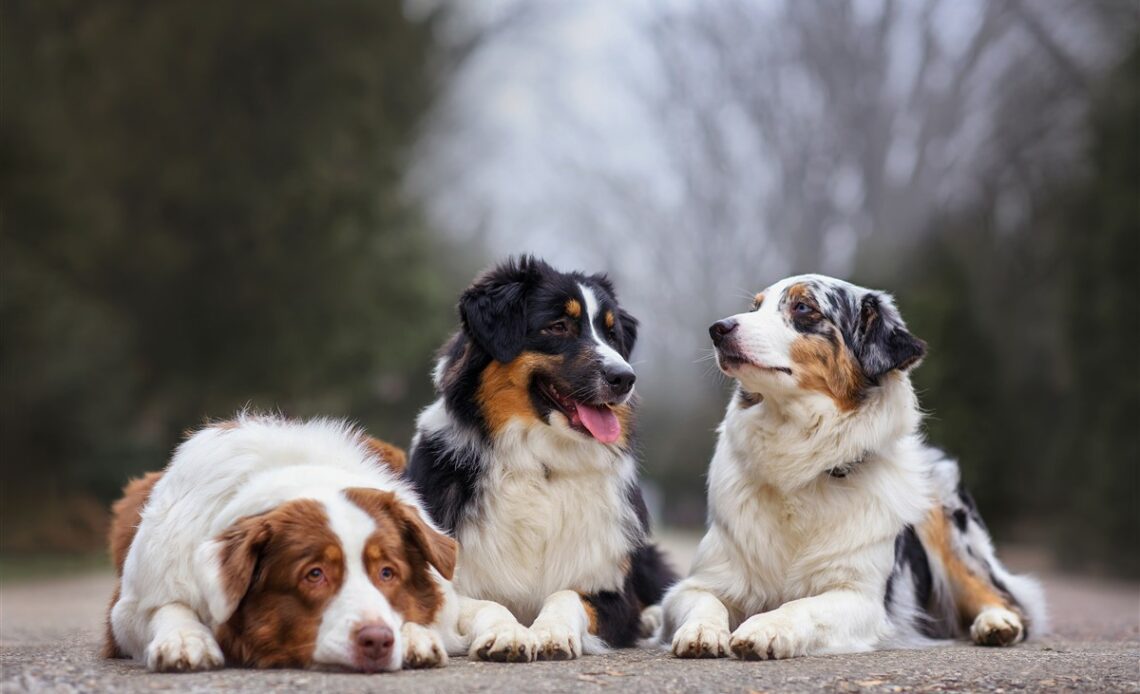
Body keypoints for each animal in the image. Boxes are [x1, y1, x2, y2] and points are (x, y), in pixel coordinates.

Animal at [107, 414, 528, 670]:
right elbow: (166, 609)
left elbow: (481, 607)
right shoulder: (126, 610)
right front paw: (184, 640)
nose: (377, 640)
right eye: (314, 574)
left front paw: (501, 634)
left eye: (387, 572)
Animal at [408, 255, 674, 660]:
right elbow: (484, 604)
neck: (540, 464)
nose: (625, 378)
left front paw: (551, 632)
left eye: (612, 334)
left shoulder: (611, 589)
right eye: (558, 326)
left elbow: (567, 594)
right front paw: (507, 633)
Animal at [665, 273, 1044, 656]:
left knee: (1000, 596)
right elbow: (704, 600)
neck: (799, 457)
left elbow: (803, 605)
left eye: (803, 307)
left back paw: (997, 624)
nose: (717, 329)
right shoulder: (696, 584)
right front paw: (701, 631)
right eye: (755, 307)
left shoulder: (861, 597)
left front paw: (766, 627)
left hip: (951, 532)